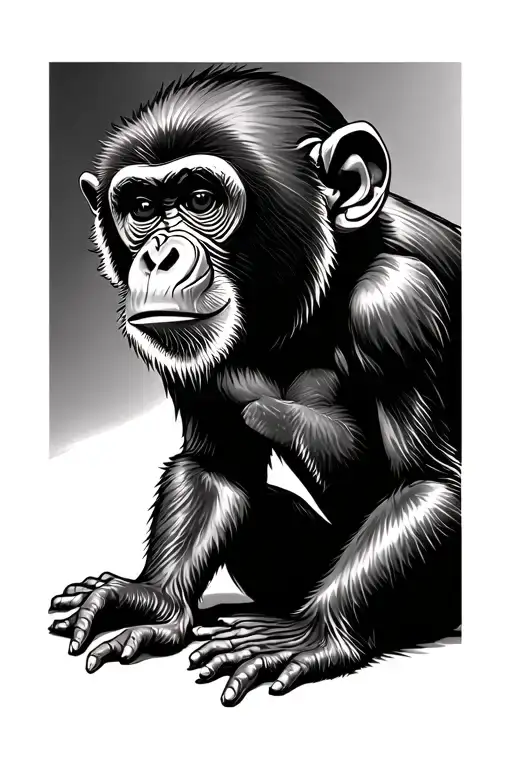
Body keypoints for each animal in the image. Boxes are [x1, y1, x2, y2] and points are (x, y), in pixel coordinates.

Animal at [49, 65, 461, 707]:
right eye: (141, 208)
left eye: (200, 200)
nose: (158, 256)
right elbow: (215, 465)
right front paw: (150, 599)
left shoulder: (400, 303)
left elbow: (429, 481)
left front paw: (312, 634)